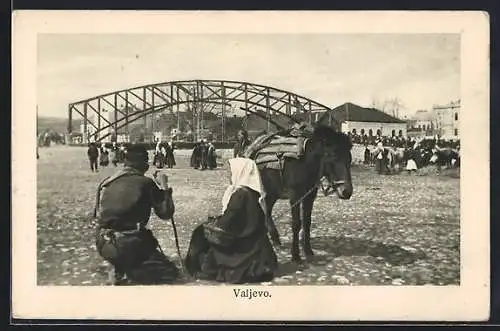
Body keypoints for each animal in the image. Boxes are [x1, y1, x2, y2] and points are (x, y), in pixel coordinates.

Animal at [248, 125, 354, 264]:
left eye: (349, 159)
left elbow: (307, 221)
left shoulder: (310, 196)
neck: (306, 163)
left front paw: (308, 250)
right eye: (334, 157)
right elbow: (296, 223)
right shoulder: (295, 196)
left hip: (273, 192)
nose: (347, 192)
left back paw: (274, 238)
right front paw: (295, 255)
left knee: (266, 207)